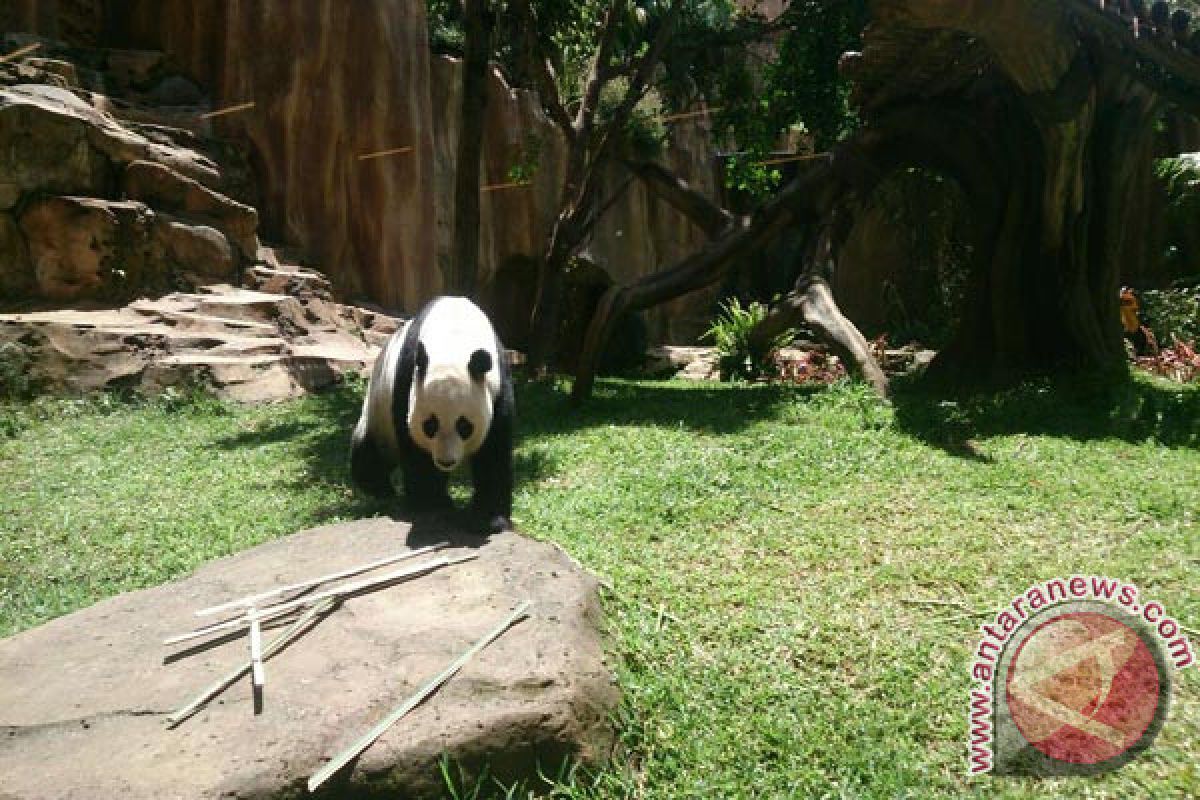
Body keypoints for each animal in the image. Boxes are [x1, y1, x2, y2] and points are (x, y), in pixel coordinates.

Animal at [350, 297, 513, 534]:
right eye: (430, 425)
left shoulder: (498, 384)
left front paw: (489, 519)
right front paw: (431, 504)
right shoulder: (407, 377)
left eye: (465, 426)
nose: (446, 461)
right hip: (377, 410)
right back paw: (378, 488)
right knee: (370, 451)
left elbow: (494, 450)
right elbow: (414, 448)